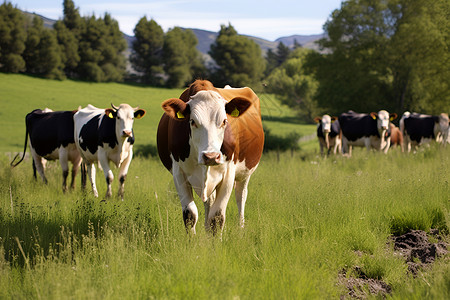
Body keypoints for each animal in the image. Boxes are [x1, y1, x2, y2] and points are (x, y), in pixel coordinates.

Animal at [157, 79, 266, 234]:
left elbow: (217, 217)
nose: (211, 156)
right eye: (192, 121)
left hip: (245, 173)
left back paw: (240, 228)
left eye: (224, 121)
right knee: (209, 201)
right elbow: (190, 214)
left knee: (241, 196)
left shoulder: (228, 174)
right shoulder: (179, 173)